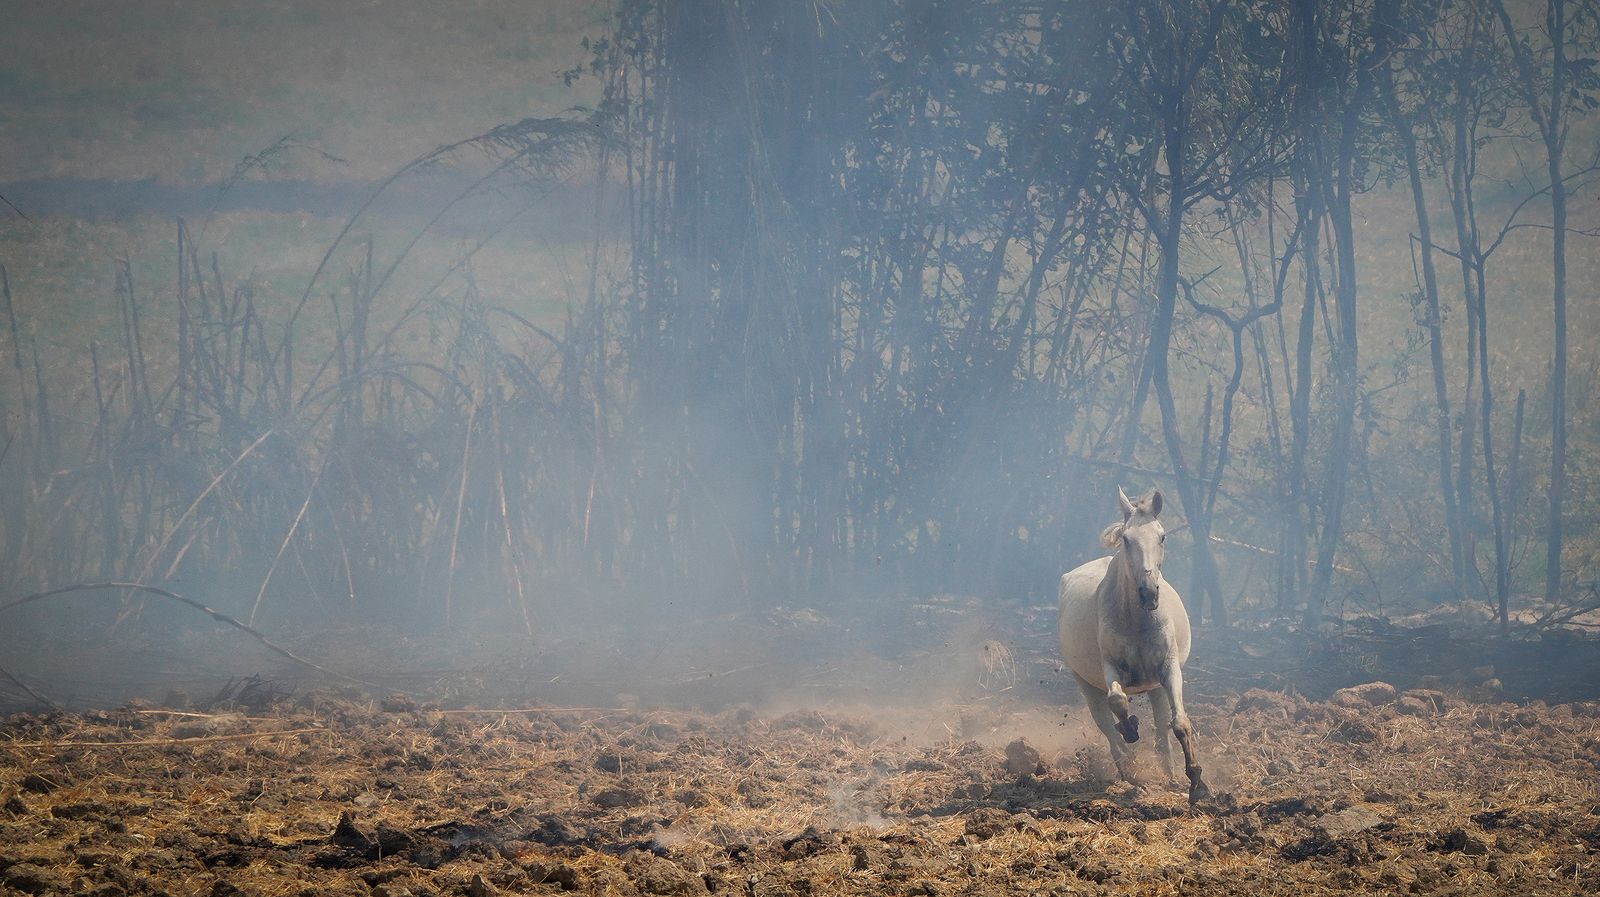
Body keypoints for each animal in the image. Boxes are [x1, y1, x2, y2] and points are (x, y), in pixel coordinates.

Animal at [1057, 486, 1209, 804]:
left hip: (1155, 687)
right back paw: (1128, 768)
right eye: (1126, 539)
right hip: (1086, 683)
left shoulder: (1169, 670)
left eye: (1162, 536)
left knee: (1162, 726)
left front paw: (1197, 782)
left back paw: (1170, 773)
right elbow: (1117, 701)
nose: (1149, 593)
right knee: (1106, 724)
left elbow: (1179, 723)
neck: (1136, 620)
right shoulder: (1111, 668)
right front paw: (1130, 730)